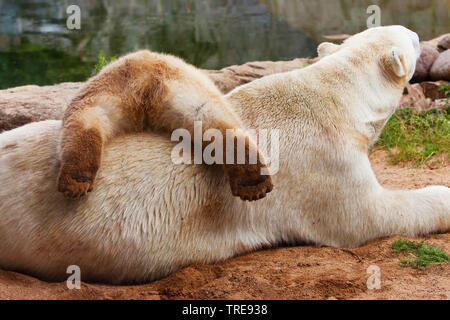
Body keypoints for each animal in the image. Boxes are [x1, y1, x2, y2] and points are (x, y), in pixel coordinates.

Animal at [0, 26, 450, 284]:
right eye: (412, 37)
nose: (418, 33)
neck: (332, 98)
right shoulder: (324, 165)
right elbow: (368, 215)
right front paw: (441, 196)